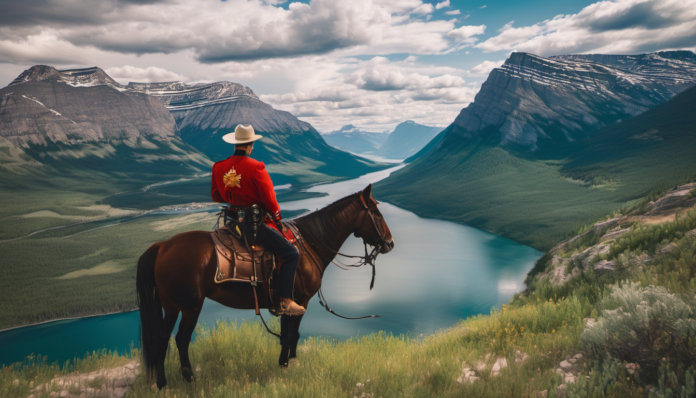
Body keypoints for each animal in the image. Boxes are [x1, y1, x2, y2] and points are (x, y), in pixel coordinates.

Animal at [135, 184, 392, 388]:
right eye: (377, 213)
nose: (390, 243)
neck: (310, 242)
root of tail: (161, 246)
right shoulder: (299, 301)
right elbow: (291, 334)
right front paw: (287, 365)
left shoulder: (289, 303)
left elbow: (289, 335)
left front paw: (286, 363)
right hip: (190, 307)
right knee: (181, 339)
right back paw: (188, 380)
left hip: (171, 307)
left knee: (162, 337)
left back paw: (162, 383)